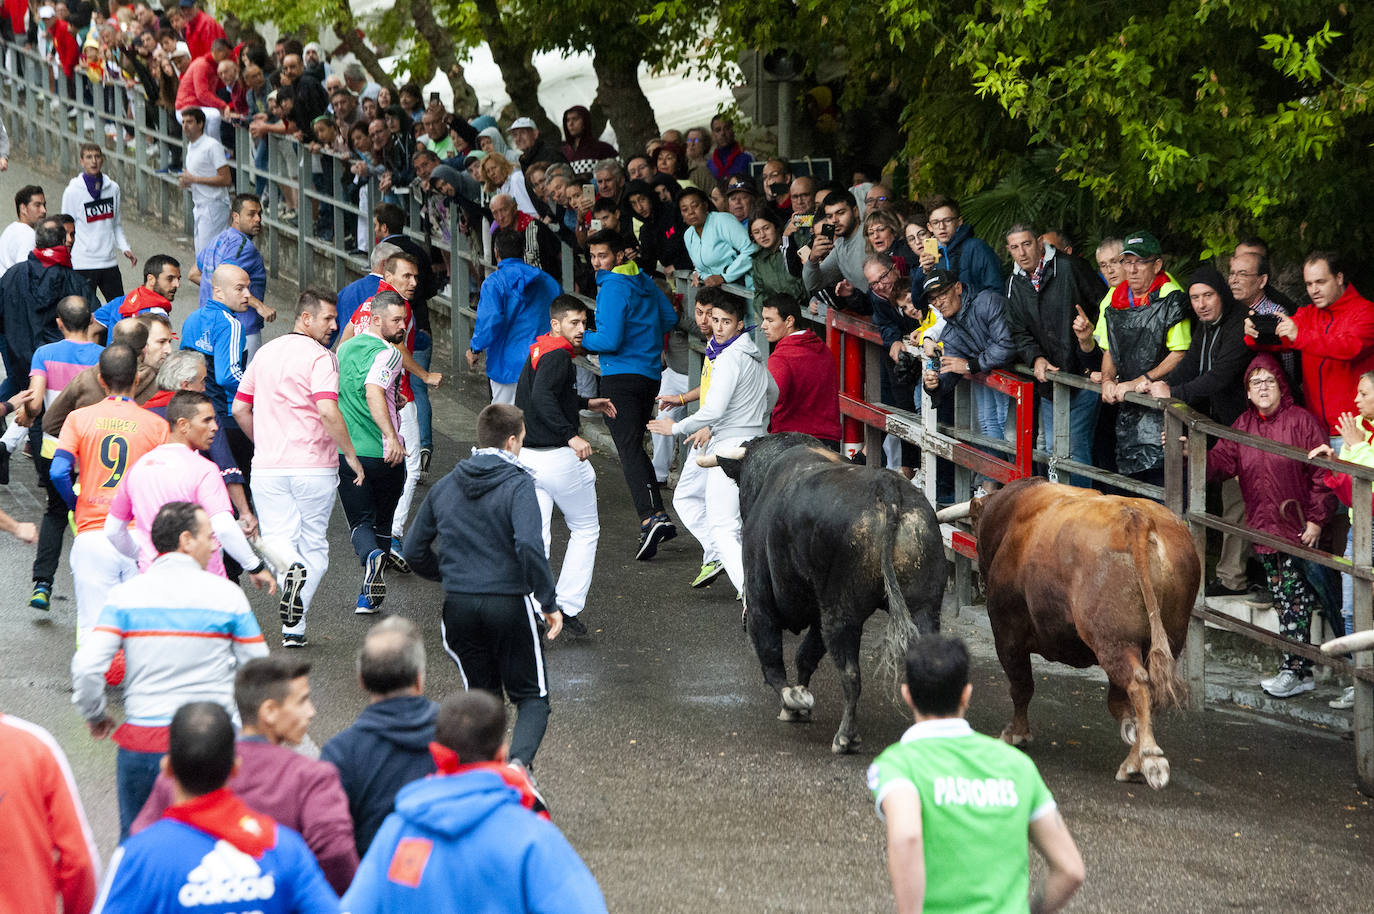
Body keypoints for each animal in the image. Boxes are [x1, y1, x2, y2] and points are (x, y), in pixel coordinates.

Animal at [708, 431, 945, 753]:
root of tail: (888, 490)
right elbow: (805, 657)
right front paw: (799, 701)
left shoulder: (759, 601)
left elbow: (772, 659)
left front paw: (793, 702)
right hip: (924, 606)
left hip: (840, 611)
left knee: (850, 673)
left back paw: (845, 737)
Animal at [939, 472, 1198, 786]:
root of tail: (1138, 519)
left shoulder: (1006, 631)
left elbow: (1021, 685)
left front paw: (1016, 733)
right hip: (1164, 638)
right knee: (1144, 690)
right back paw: (1137, 754)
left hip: (1112, 640)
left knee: (1138, 684)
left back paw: (1146, 759)